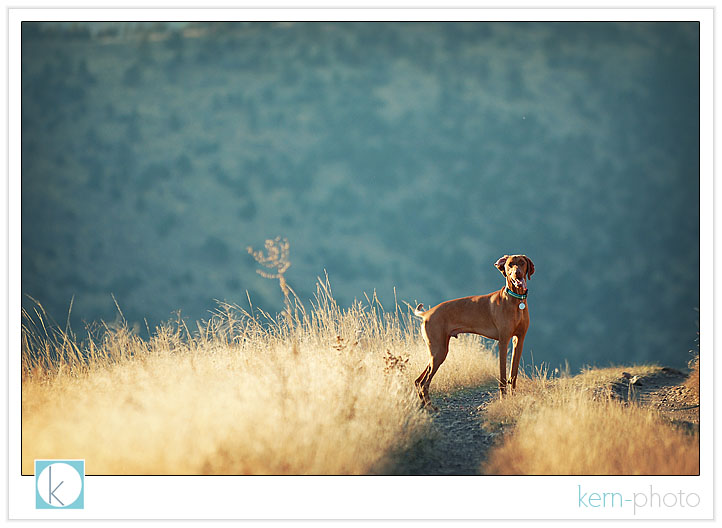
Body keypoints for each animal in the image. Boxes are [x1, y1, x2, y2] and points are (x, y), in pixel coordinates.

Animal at [410, 256, 536, 408]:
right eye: (510, 264)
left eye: (522, 263)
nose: (517, 273)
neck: (516, 301)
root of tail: (426, 313)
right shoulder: (503, 341)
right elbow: (503, 376)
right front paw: (503, 399)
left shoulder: (519, 340)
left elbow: (513, 374)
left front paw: (513, 397)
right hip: (438, 352)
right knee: (424, 382)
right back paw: (430, 407)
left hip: (438, 352)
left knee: (419, 380)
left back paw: (425, 405)